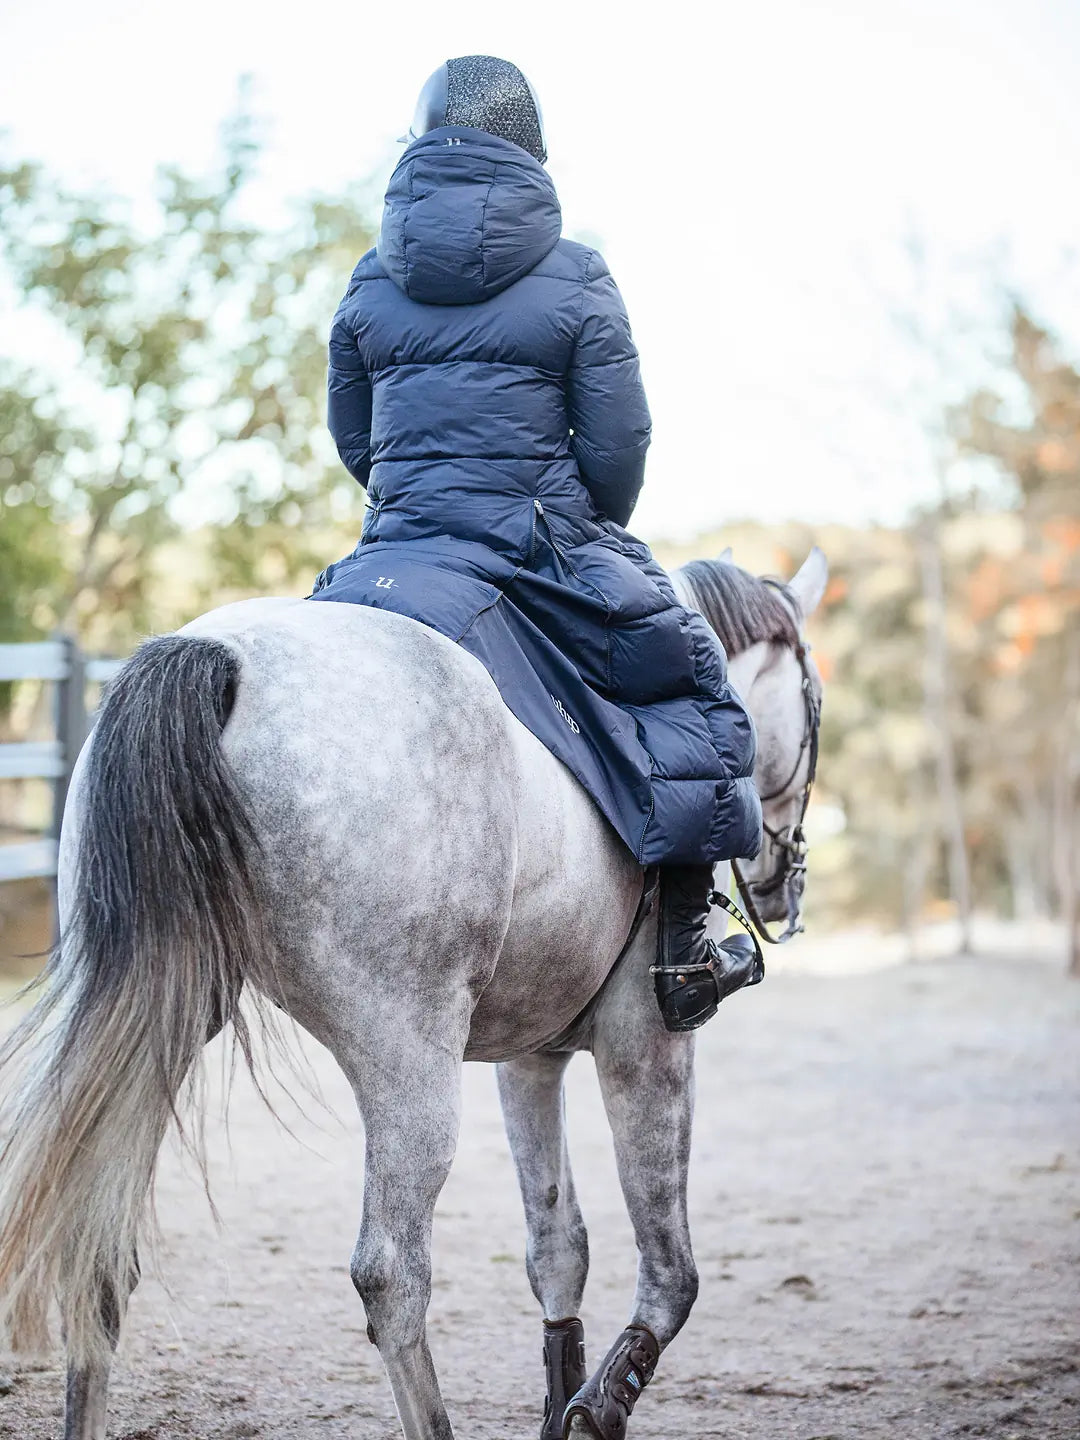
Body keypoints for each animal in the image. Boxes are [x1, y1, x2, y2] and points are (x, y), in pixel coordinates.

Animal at [0, 546, 827, 1440]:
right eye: (814, 705)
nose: (784, 888)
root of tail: (218, 655)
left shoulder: (528, 1062)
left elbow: (557, 1245)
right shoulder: (647, 1042)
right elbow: (671, 1268)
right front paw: (599, 1405)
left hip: (161, 1028)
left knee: (97, 1254)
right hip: (405, 1056)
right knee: (392, 1274)